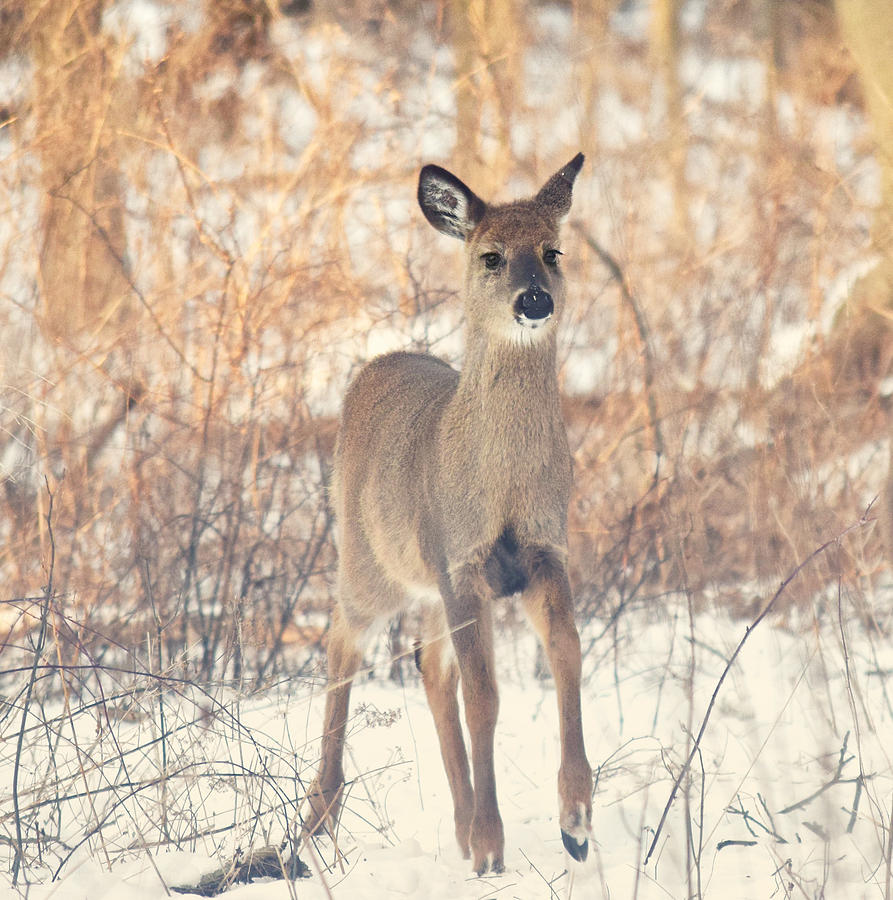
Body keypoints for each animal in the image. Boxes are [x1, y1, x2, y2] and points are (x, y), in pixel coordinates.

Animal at [304, 153, 592, 872]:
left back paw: (458, 826)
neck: (504, 483)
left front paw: (575, 818)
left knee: (428, 668)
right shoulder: (462, 561)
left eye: (553, 252)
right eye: (491, 256)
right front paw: (493, 845)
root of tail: (374, 366)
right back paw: (321, 813)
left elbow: (567, 654)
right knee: (341, 639)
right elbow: (483, 696)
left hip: (425, 583)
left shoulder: (545, 550)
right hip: (371, 561)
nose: (534, 300)